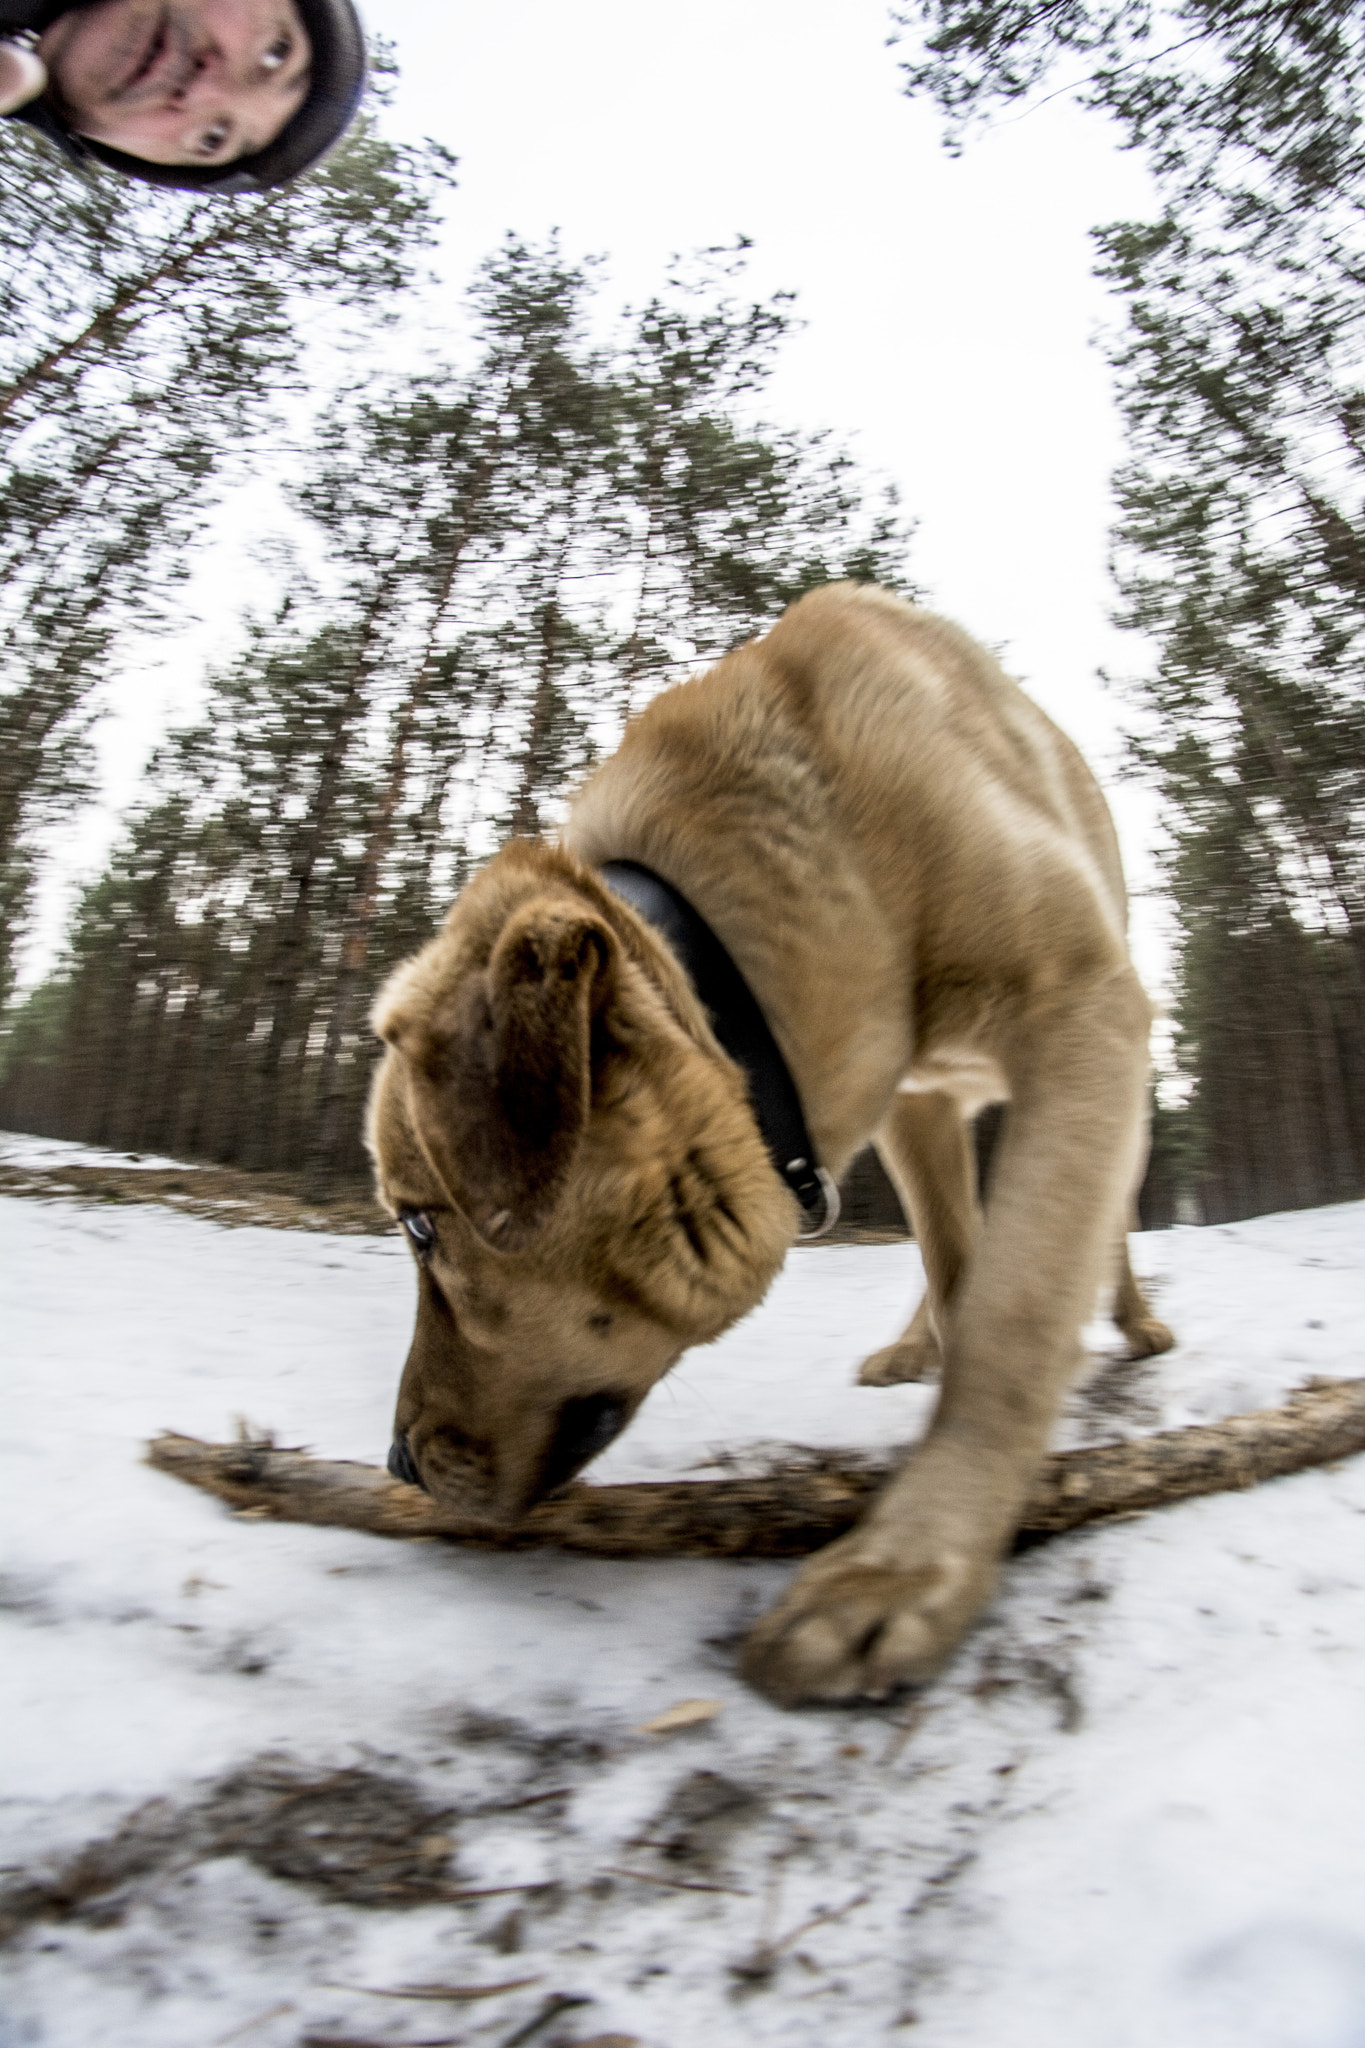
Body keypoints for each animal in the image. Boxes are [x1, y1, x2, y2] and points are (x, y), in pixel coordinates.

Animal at [366, 585, 1178, 1703]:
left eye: (419, 1227)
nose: (396, 1465)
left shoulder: (1083, 1010)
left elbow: (1013, 1313)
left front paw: (906, 1567)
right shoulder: (911, 1102)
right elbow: (966, 1279)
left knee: (1102, 1232)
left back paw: (1133, 1321)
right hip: (931, 1111)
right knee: (953, 1251)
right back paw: (914, 1344)